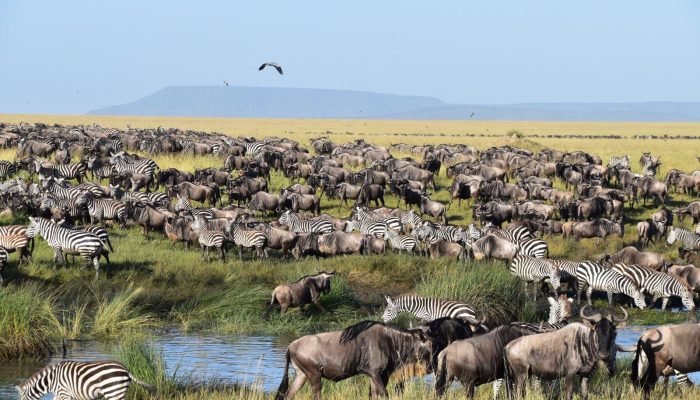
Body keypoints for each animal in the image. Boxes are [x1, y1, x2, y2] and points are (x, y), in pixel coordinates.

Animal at [16, 360, 153, 400]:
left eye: (22, 399)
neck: (51, 381)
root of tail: (126, 370)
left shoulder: (63, 393)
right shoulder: (62, 395)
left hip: (113, 392)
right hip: (119, 392)